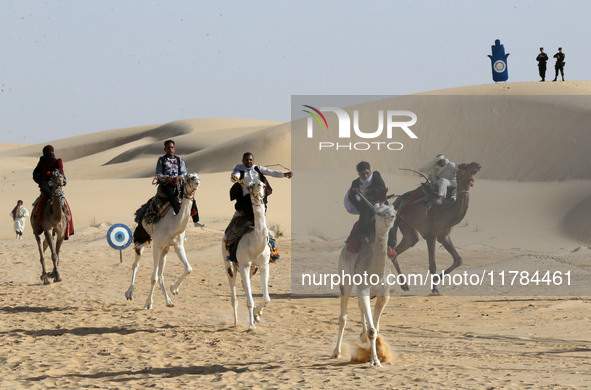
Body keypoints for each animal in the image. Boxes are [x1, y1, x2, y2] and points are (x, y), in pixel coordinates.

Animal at [125, 172, 201, 310]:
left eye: (197, 176)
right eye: (187, 178)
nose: (197, 182)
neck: (172, 224)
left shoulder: (177, 245)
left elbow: (188, 268)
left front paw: (174, 289)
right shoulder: (157, 246)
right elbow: (153, 278)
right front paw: (148, 303)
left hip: (165, 249)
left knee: (161, 275)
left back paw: (168, 301)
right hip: (141, 238)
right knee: (136, 264)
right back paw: (129, 293)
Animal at [223, 180, 272, 330]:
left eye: (263, 185)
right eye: (250, 186)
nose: (259, 187)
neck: (254, 244)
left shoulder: (263, 265)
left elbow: (267, 298)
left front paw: (257, 314)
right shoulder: (244, 264)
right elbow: (249, 301)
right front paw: (251, 325)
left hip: (253, 269)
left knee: (245, 286)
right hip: (229, 264)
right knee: (234, 295)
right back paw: (235, 322)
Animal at [332, 203, 398, 368]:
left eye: (394, 212)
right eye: (378, 212)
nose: (391, 217)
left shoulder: (384, 294)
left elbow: (375, 328)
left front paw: (375, 355)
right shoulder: (363, 289)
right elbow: (372, 330)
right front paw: (374, 360)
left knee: (359, 307)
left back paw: (361, 337)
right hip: (345, 278)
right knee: (343, 316)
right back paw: (336, 352)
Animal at [390, 161, 484, 292]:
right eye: (464, 166)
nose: (477, 164)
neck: (447, 212)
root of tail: (396, 201)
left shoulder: (444, 236)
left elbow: (459, 260)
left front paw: (438, 279)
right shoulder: (431, 235)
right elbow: (433, 265)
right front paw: (435, 288)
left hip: (407, 227)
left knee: (402, 247)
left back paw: (404, 285)